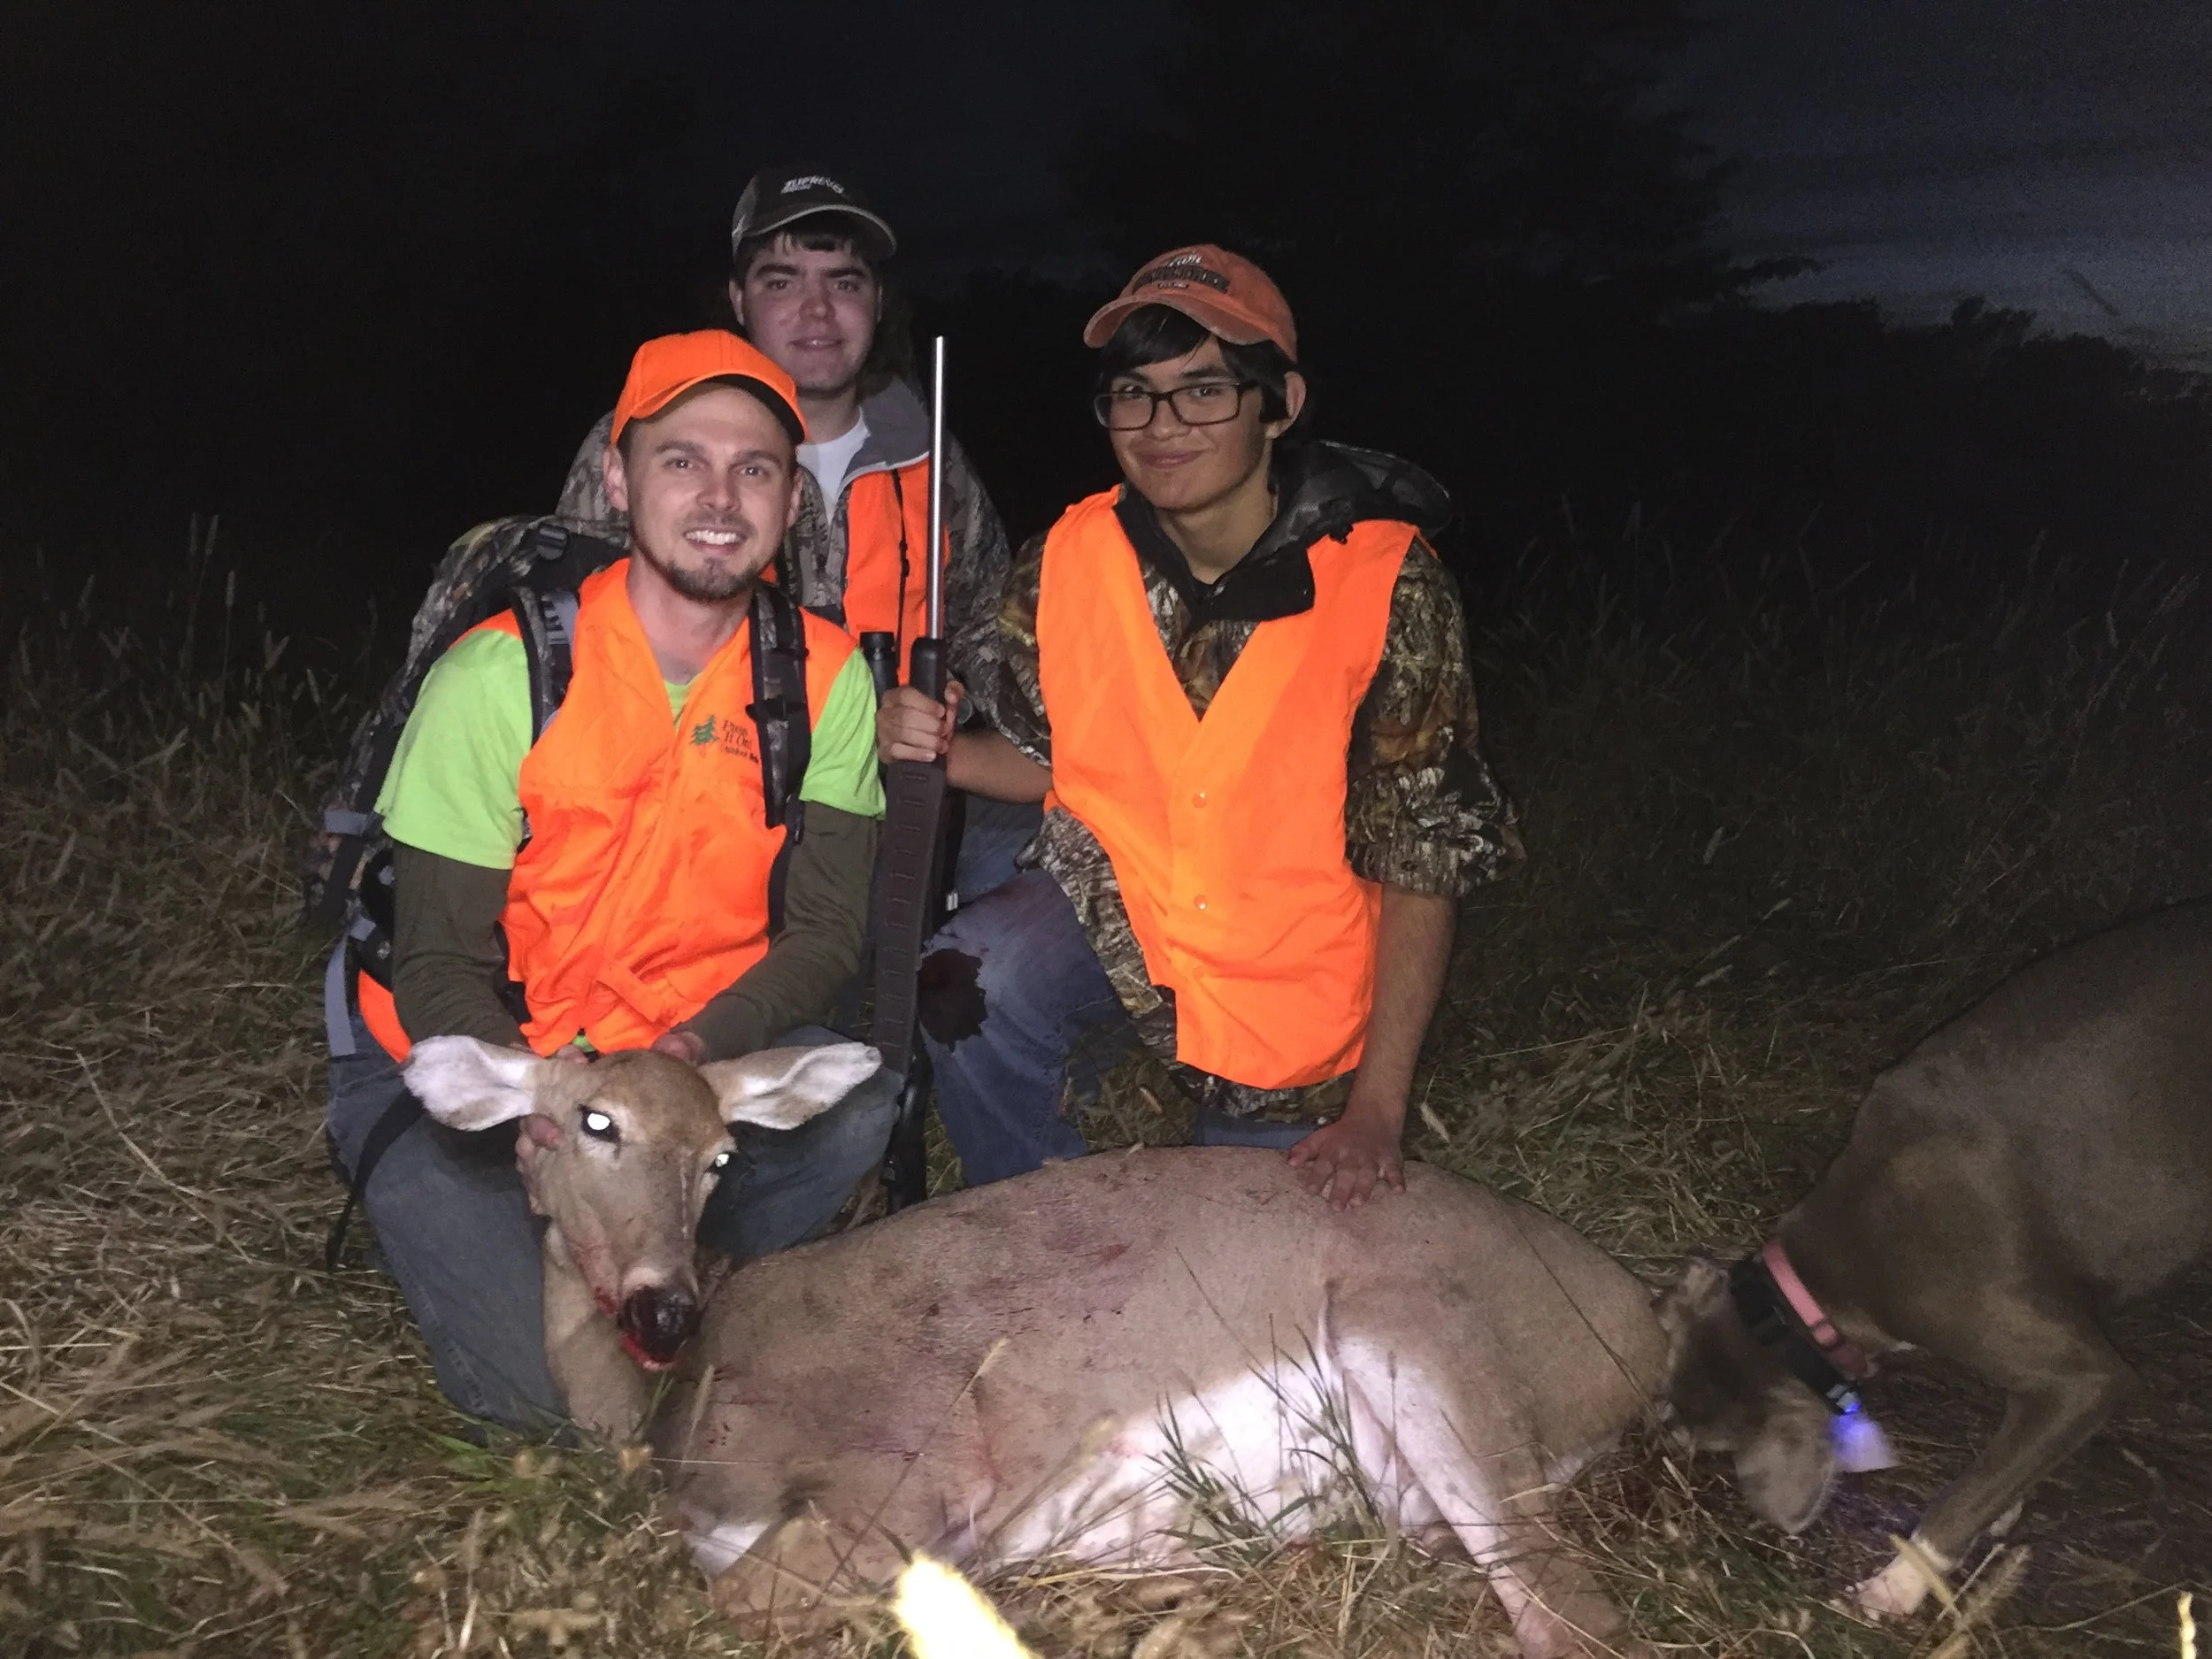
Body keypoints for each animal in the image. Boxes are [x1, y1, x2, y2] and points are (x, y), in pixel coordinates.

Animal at [404, 1035, 1670, 1659]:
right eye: (589, 1123)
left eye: (722, 1156)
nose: (663, 1307)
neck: (673, 1416)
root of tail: (1641, 1320)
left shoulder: (908, 1474)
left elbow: (737, 1609)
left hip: (1421, 1337)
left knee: (1575, 1621)